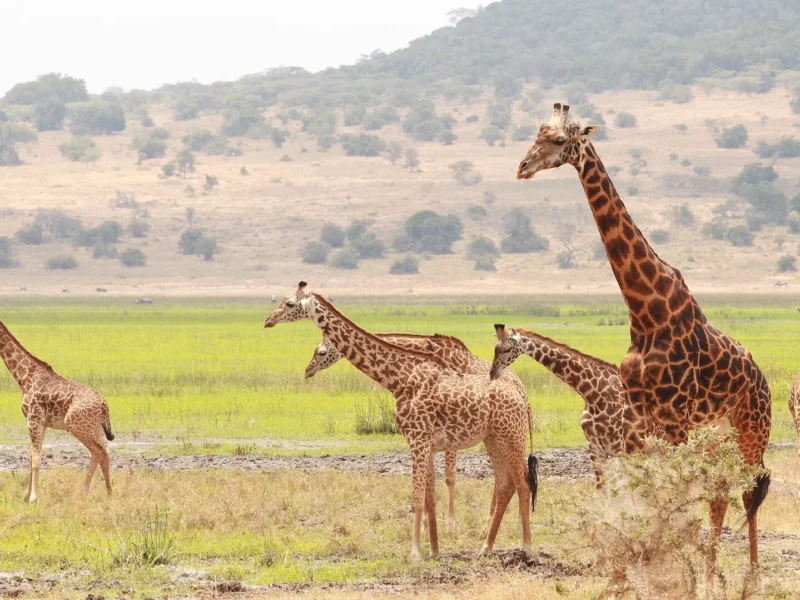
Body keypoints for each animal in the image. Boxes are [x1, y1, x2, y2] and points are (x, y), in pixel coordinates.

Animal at [0, 319, 114, 503]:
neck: (24, 377)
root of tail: (104, 405)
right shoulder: (42, 423)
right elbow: (31, 457)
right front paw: (26, 495)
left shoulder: (33, 419)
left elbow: (36, 460)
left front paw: (34, 498)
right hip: (96, 428)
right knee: (105, 453)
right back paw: (109, 493)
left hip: (76, 425)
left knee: (97, 452)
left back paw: (83, 492)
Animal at [489, 324, 624, 485]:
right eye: (495, 348)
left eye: (507, 349)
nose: (492, 372)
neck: (593, 394)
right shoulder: (596, 450)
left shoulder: (620, 447)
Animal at [515, 103, 772, 568]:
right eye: (536, 134)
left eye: (559, 140)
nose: (522, 167)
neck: (647, 311)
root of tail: (763, 380)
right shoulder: (643, 418)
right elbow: (652, 492)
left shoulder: (674, 419)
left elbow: (673, 493)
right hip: (715, 437)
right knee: (721, 493)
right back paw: (711, 564)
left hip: (751, 429)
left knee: (748, 487)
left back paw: (751, 570)